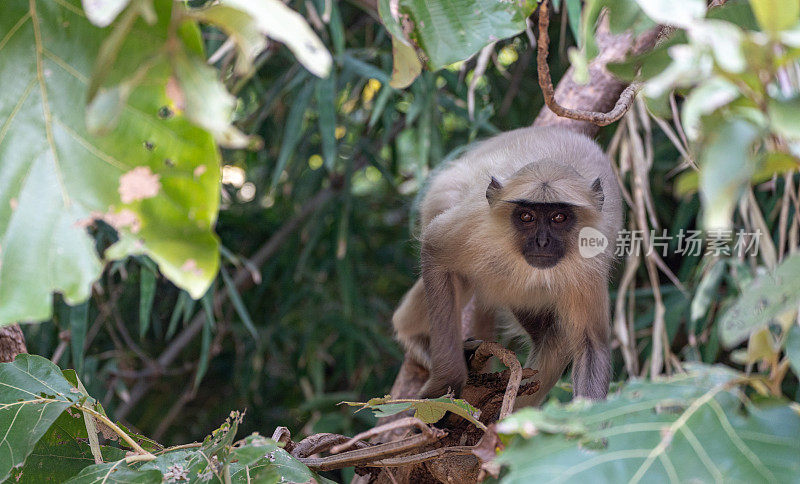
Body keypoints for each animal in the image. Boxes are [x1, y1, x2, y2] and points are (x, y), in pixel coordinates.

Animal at [390, 126, 620, 402]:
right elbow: (434, 249)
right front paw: (445, 385)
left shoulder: (590, 261)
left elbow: (591, 345)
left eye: (559, 217)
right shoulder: (476, 221)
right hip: (443, 195)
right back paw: (413, 335)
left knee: (555, 338)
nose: (542, 242)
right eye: (526, 217)